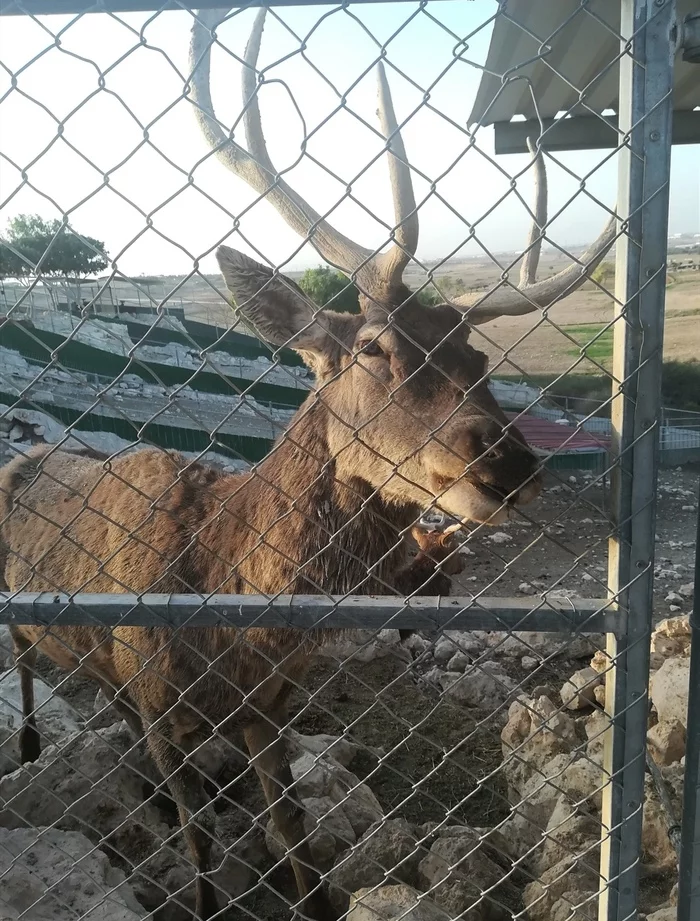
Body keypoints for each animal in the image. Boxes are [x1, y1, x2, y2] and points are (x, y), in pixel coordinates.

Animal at [0, 7, 612, 920]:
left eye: (476, 355)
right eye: (375, 348)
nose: (507, 463)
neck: (227, 614)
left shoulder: (270, 707)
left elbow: (294, 837)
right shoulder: (160, 701)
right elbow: (200, 846)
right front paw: (202, 885)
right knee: (25, 660)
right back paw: (35, 742)